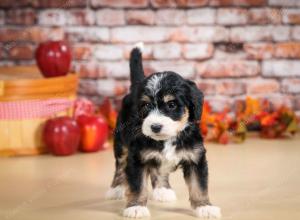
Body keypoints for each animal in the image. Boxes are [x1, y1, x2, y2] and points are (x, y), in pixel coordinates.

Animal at [105, 43, 220, 218]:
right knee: (120, 166)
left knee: (158, 170)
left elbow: (199, 186)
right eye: (146, 105)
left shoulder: (196, 158)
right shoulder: (136, 158)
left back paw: (163, 190)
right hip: (121, 144)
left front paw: (205, 207)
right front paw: (136, 207)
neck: (167, 139)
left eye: (171, 105)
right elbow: (137, 186)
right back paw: (116, 189)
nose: (155, 126)